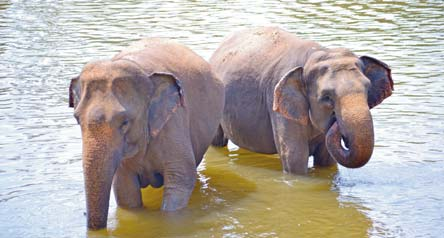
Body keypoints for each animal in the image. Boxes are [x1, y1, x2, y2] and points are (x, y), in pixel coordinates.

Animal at [210, 27, 394, 174]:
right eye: (327, 98)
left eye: (367, 90)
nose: (336, 121)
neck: (316, 54)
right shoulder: (278, 103)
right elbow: (295, 157)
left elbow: (326, 160)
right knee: (217, 141)